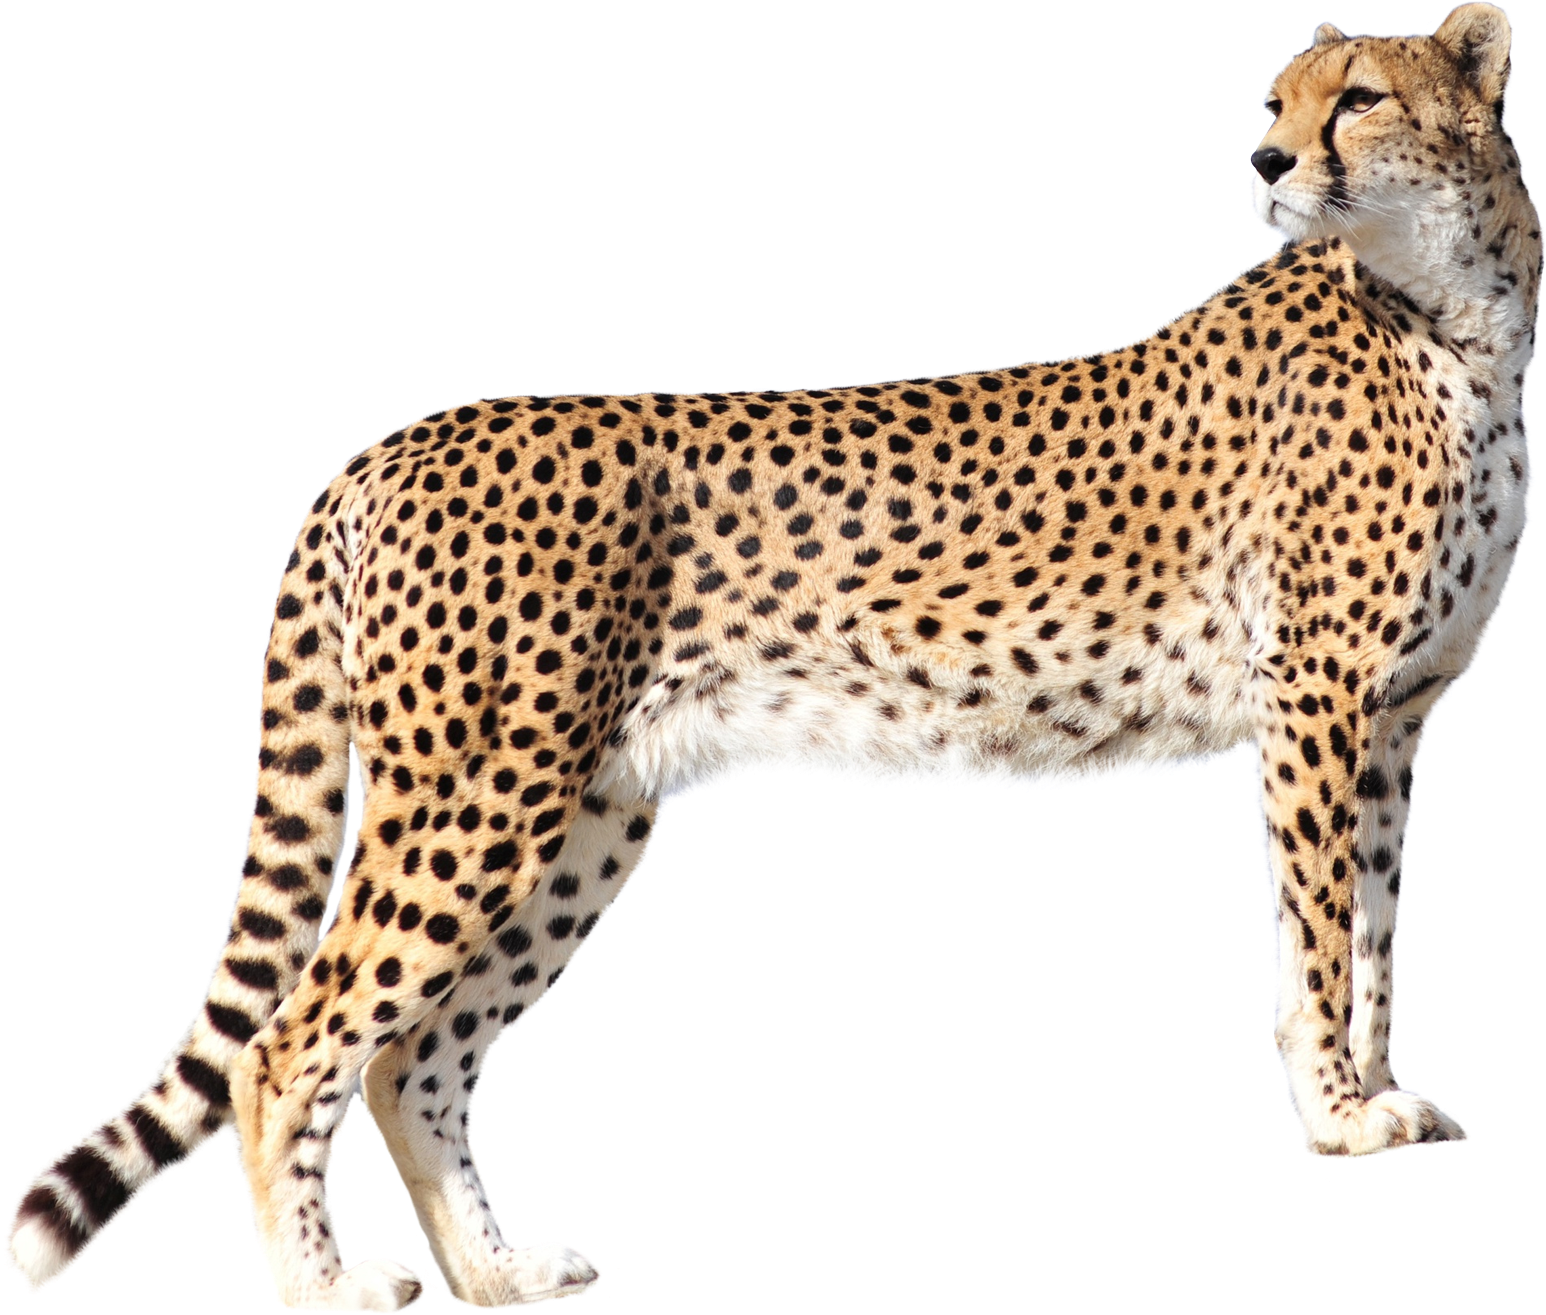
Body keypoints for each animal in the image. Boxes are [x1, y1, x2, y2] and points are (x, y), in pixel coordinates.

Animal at [7, 4, 1537, 1309]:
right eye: (1274, 103)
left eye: (1357, 98)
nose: (1266, 163)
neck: (1457, 312)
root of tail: (391, 440)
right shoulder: (1318, 706)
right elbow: (1319, 936)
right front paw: (1336, 1117)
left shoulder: (1396, 721)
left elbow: (1375, 934)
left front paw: (1379, 1096)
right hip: (481, 797)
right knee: (291, 1042)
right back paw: (326, 1287)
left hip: (587, 818)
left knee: (414, 1058)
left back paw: (495, 1273)